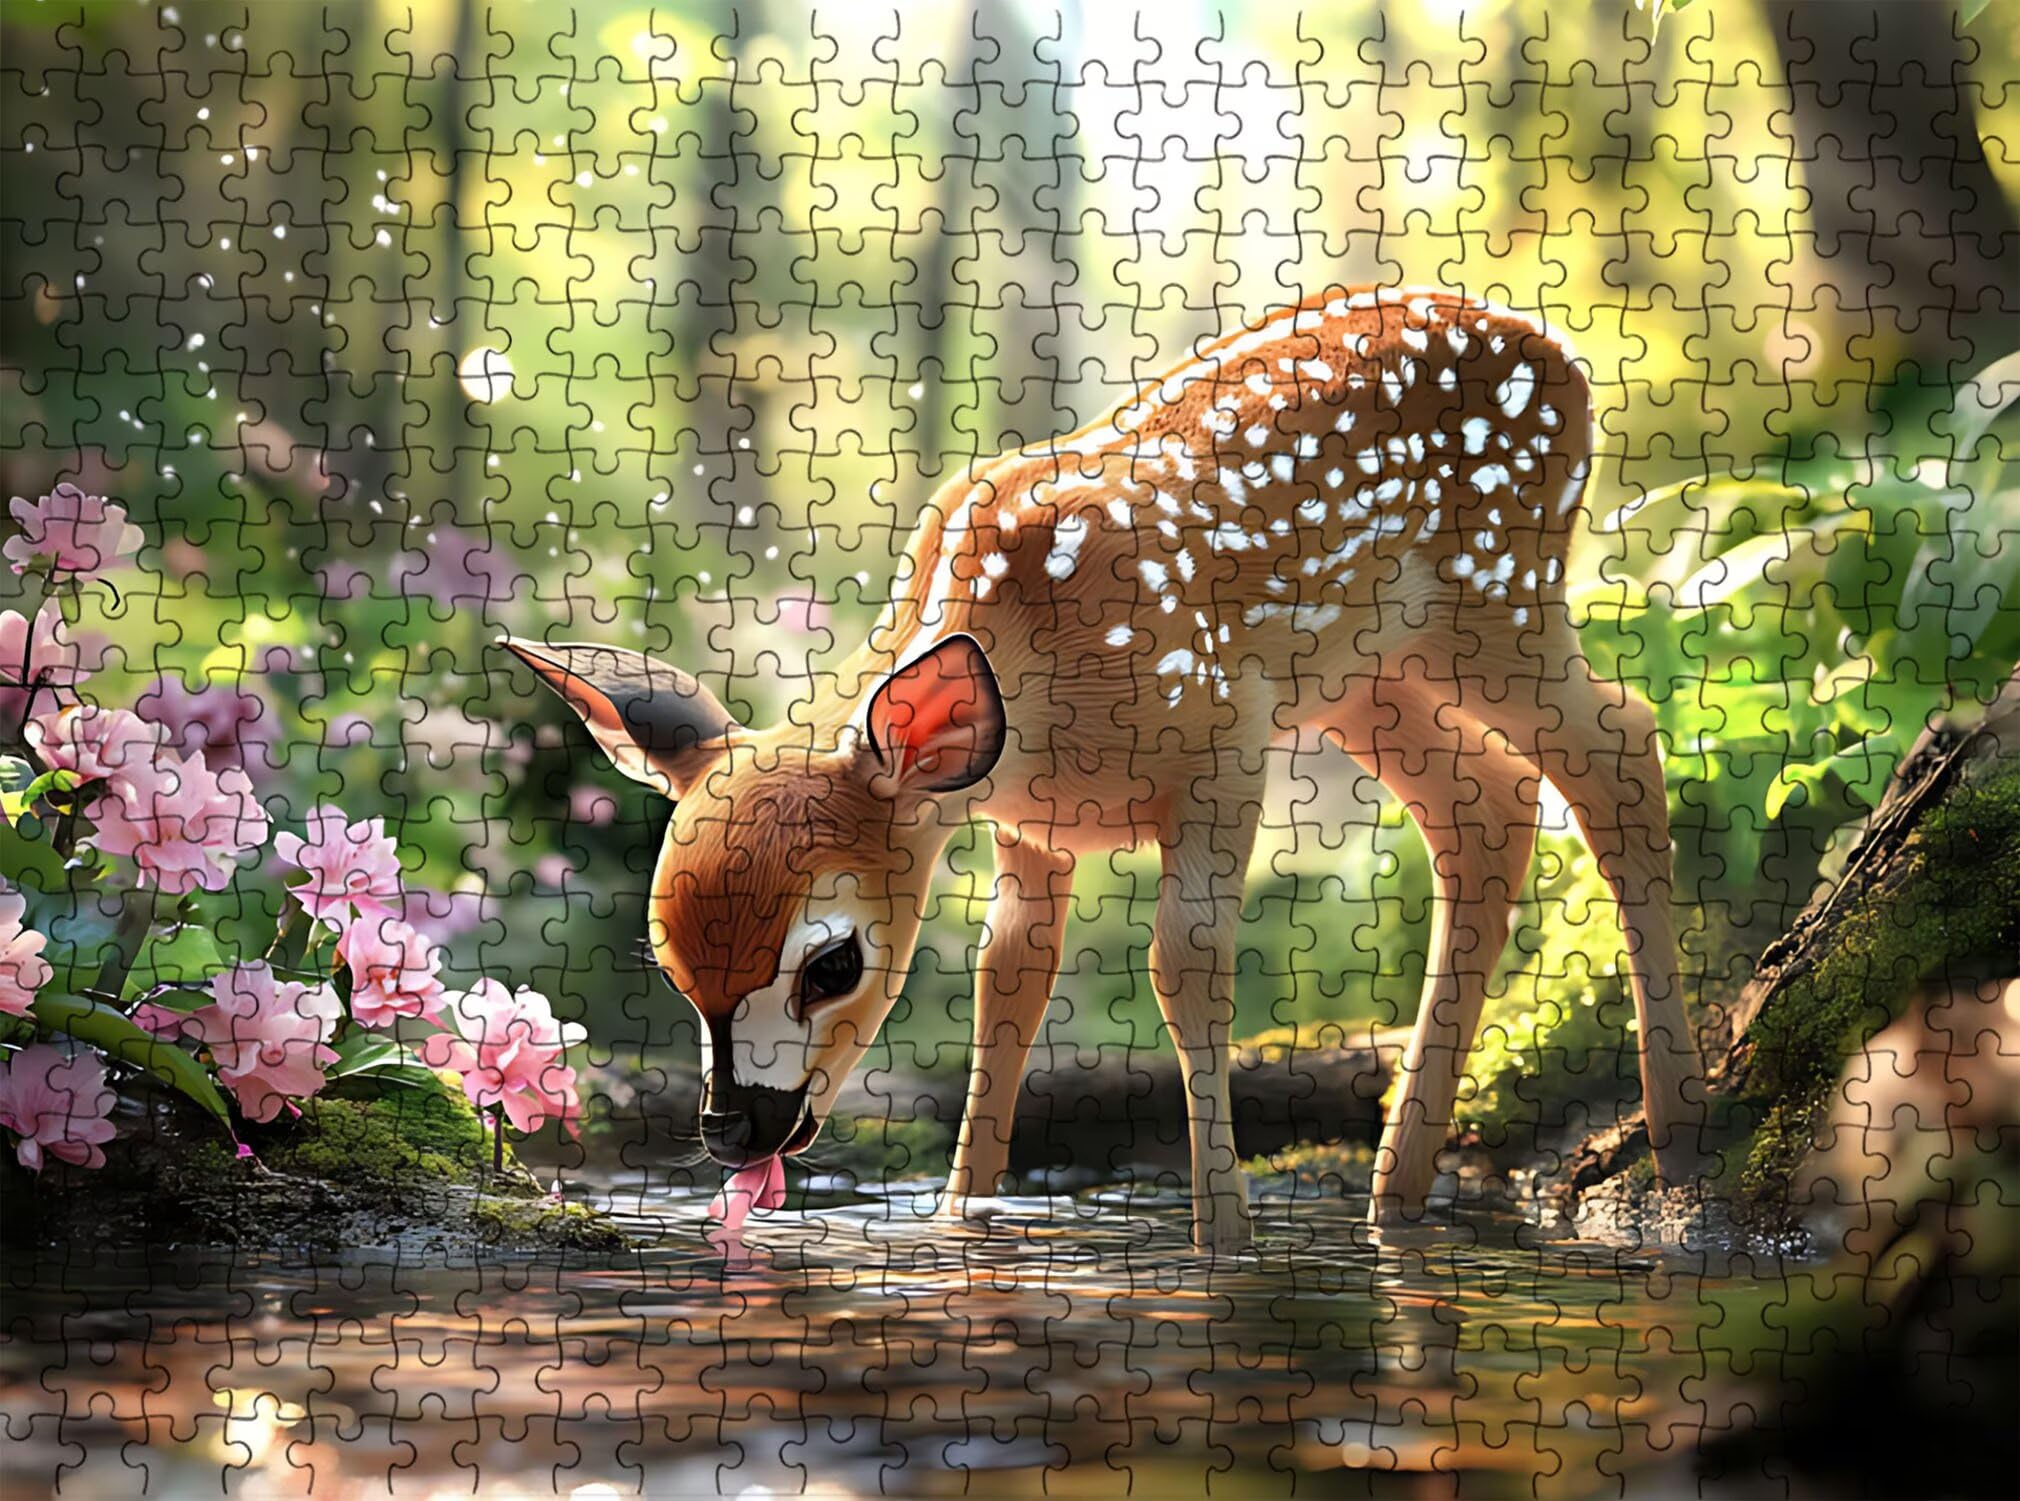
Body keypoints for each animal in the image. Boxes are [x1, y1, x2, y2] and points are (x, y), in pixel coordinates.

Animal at [503, 284, 1708, 1252]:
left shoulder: (1224, 735)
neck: (1037, 679)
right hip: (1367, 675)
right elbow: (1007, 984)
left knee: (1620, 740)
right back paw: (1395, 1197)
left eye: (832, 962)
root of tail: (1563, 353)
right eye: (669, 965)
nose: (728, 1131)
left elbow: (1185, 967)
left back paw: (1678, 1127)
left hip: (1494, 595)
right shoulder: (1025, 825)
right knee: (1489, 805)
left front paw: (1223, 1242)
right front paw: (961, 1220)